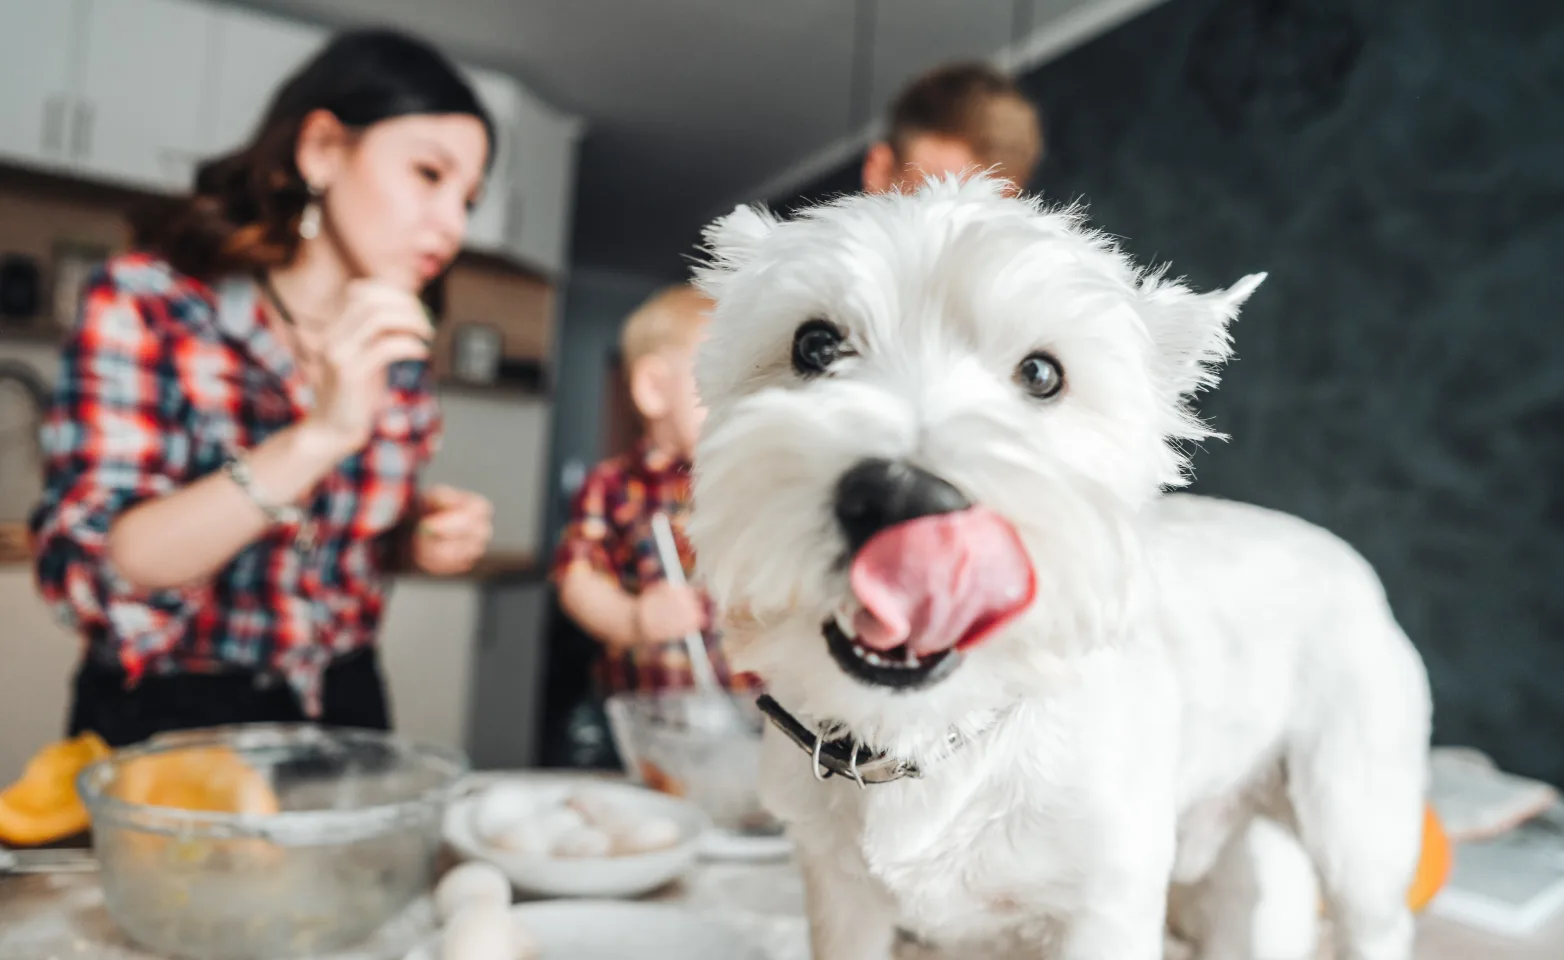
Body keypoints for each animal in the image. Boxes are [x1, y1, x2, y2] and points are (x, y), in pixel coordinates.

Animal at [691, 176, 1432, 960]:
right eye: (814, 344)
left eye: (1043, 374)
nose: (902, 497)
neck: (934, 732)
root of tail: (1350, 562)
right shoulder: (841, 896)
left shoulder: (1104, 905)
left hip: (1354, 823)